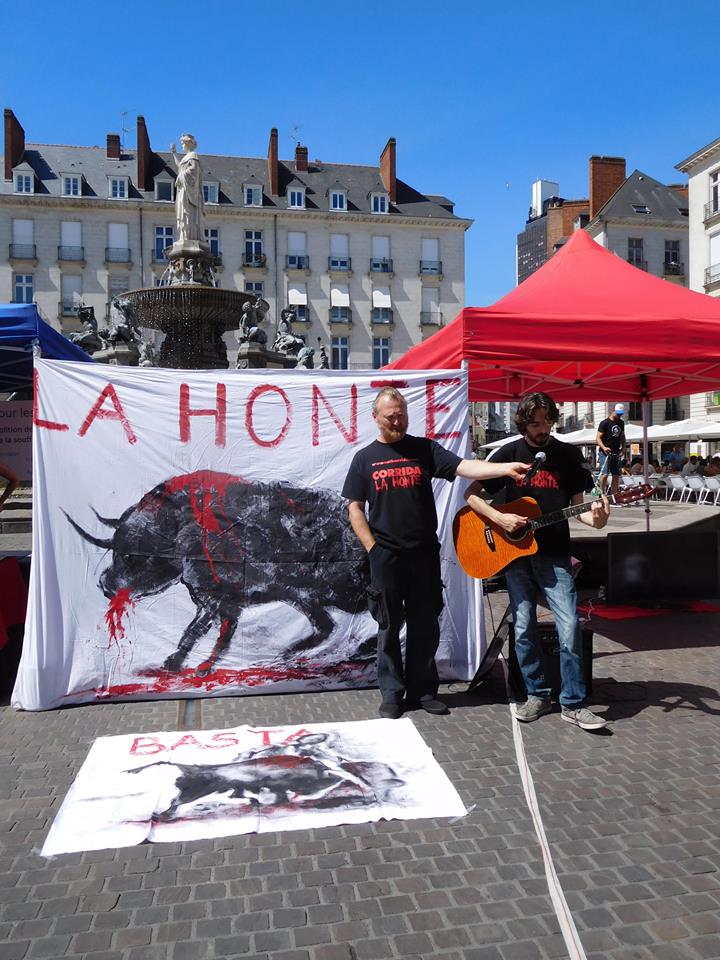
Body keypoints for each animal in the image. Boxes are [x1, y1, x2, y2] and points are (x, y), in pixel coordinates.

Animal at [66, 470, 372, 676]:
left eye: (130, 555)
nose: (104, 584)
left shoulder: (214, 599)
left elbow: (196, 631)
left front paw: (180, 664)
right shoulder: (223, 602)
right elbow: (217, 634)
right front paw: (193, 666)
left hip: (338, 592)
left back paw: (357, 650)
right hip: (304, 597)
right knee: (326, 625)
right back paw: (288, 654)